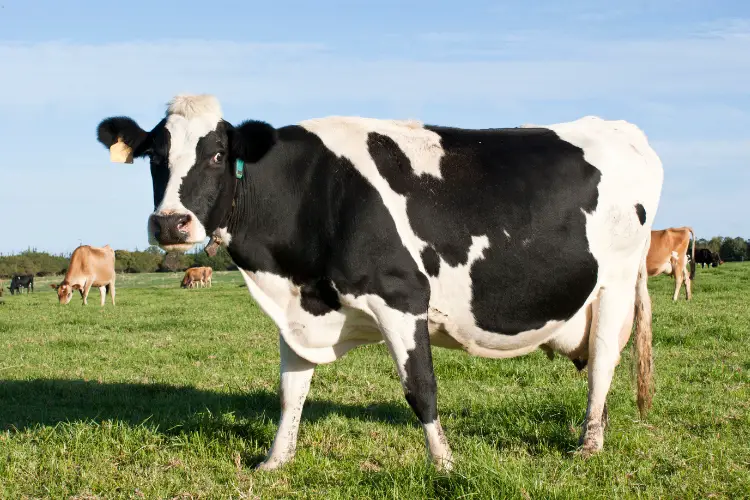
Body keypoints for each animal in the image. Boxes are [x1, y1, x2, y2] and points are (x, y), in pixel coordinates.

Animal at [97, 94, 668, 472]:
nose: (170, 224)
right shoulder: (302, 307)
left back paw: (589, 446)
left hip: (615, 284)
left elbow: (421, 389)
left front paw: (444, 465)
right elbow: (290, 392)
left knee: (602, 367)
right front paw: (274, 463)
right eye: (155, 157)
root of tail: (620, 128)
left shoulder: (402, 296)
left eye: (217, 154)